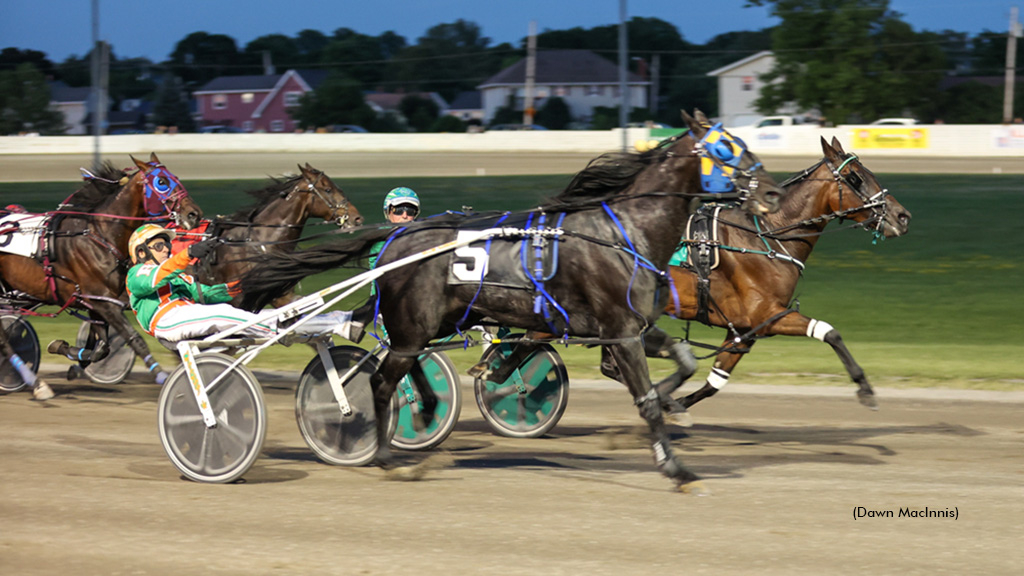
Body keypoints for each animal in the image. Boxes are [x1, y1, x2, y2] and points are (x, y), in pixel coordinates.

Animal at [0, 152, 203, 385]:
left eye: (176, 177)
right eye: (161, 182)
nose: (194, 214)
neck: (99, 236)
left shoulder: (99, 300)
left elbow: (101, 347)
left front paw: (69, 355)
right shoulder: (102, 301)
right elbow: (133, 338)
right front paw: (161, 375)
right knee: (3, 340)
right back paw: (32, 381)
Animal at [239, 109, 782, 491]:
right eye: (727, 147)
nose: (773, 194)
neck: (623, 232)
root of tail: (397, 238)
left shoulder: (629, 327)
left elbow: (684, 361)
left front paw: (673, 404)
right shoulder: (621, 330)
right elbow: (645, 400)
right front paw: (676, 468)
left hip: (432, 323)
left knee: (403, 366)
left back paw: (427, 409)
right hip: (413, 323)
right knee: (380, 379)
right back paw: (389, 456)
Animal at [667, 136, 917, 414]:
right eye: (855, 177)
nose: (902, 216)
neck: (764, 235)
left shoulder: (744, 329)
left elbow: (715, 382)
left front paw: (672, 404)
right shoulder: (767, 314)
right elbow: (830, 332)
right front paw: (864, 387)